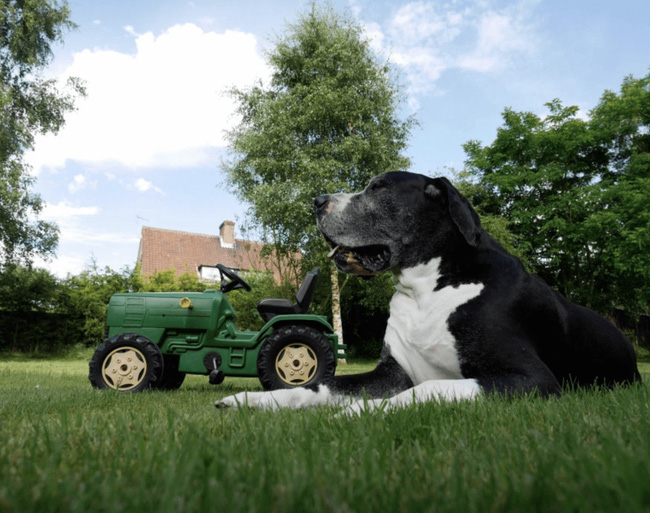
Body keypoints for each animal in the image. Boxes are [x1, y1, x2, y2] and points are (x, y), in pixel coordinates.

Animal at [216, 170, 636, 414]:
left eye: (378, 188)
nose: (317, 201)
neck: (426, 287)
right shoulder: (389, 372)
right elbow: (320, 384)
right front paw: (254, 399)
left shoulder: (533, 379)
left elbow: (428, 388)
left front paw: (358, 412)